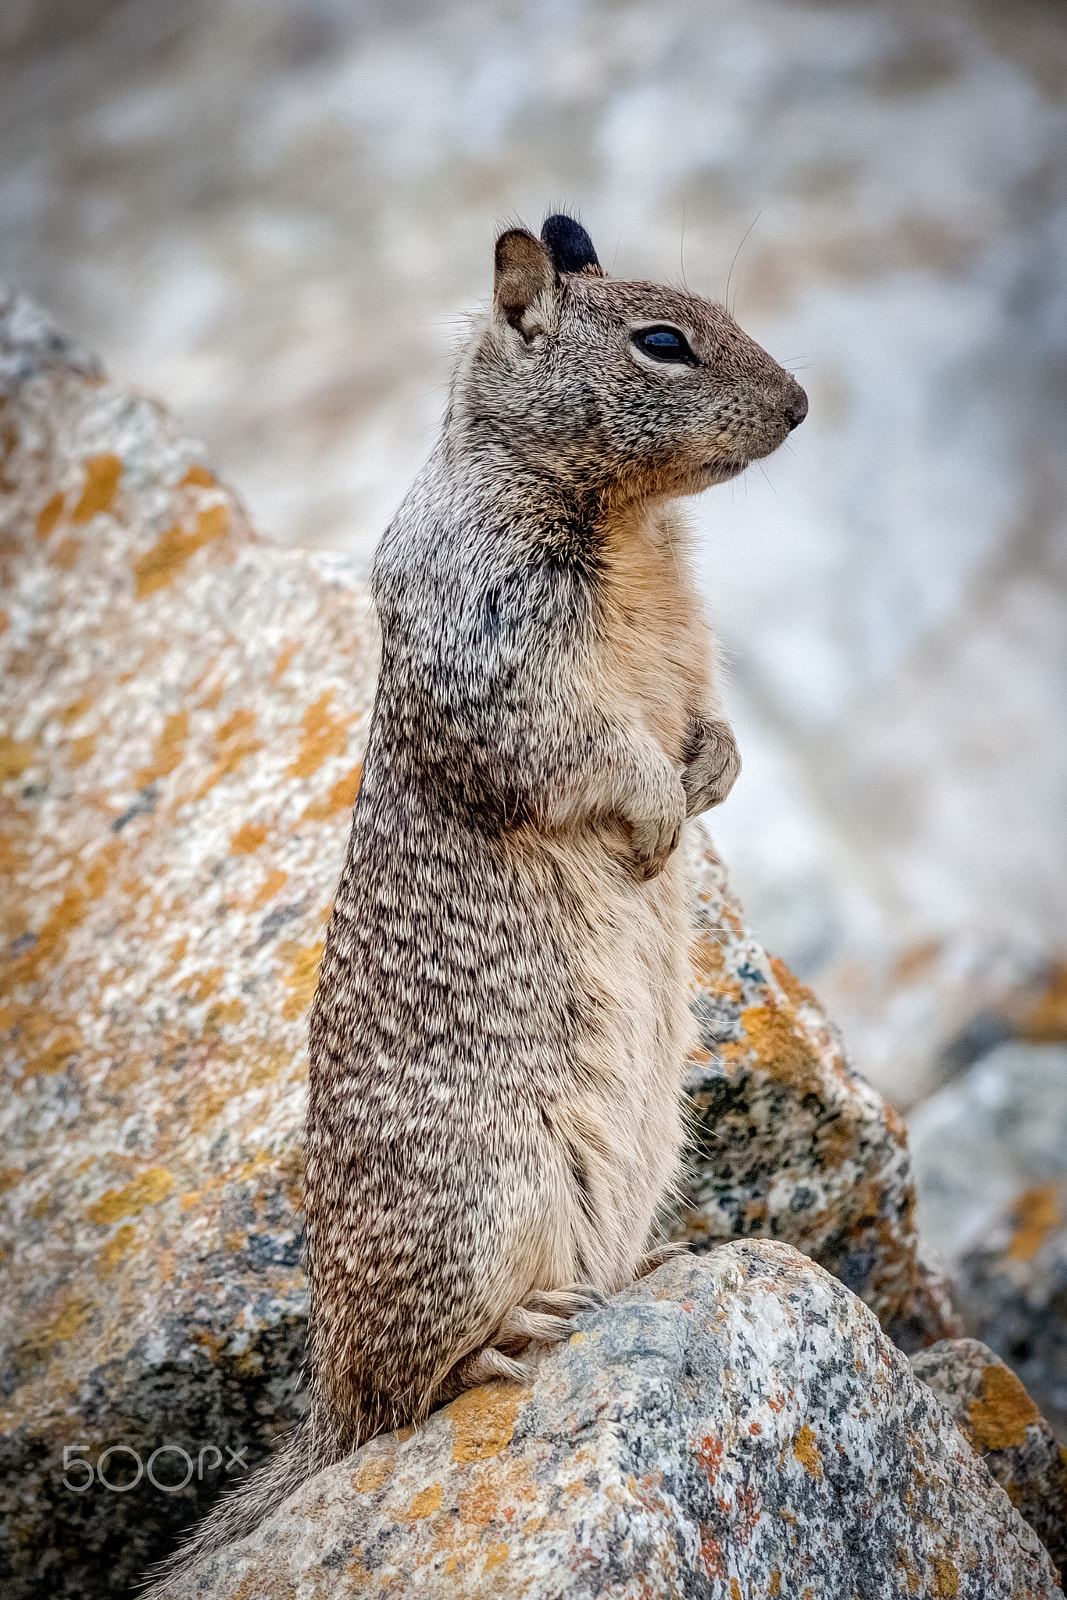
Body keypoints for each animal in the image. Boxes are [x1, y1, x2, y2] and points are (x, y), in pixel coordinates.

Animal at [148, 212, 806, 1587]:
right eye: (661, 342)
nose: (800, 404)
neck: (632, 524)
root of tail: (328, 1392)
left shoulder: (690, 647)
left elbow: (707, 716)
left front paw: (711, 776)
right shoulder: (498, 646)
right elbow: (579, 750)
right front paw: (657, 819)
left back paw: (660, 1254)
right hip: (478, 1206)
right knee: (410, 1395)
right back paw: (505, 1342)